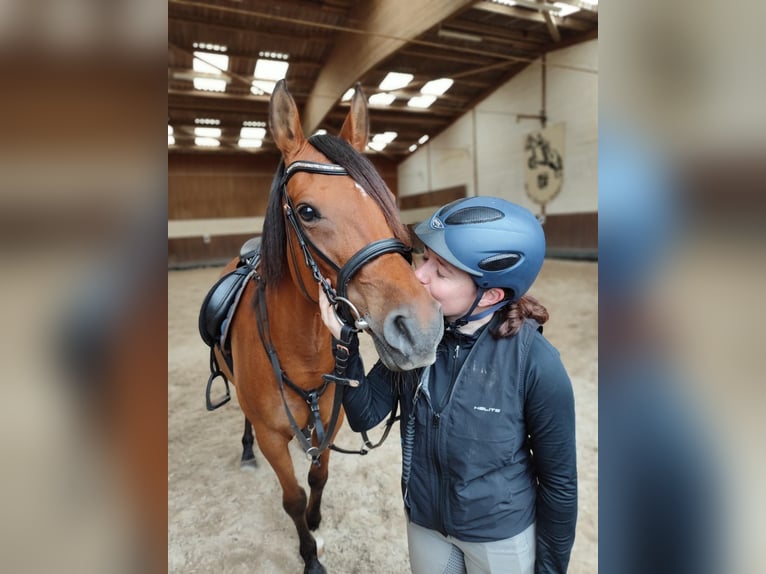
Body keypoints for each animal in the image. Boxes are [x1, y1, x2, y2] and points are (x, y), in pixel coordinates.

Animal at [213, 82, 448, 574]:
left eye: (388, 199)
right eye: (306, 211)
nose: (420, 328)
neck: (300, 350)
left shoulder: (334, 420)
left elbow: (318, 476)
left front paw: (317, 519)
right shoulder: (273, 438)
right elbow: (291, 497)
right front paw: (310, 555)